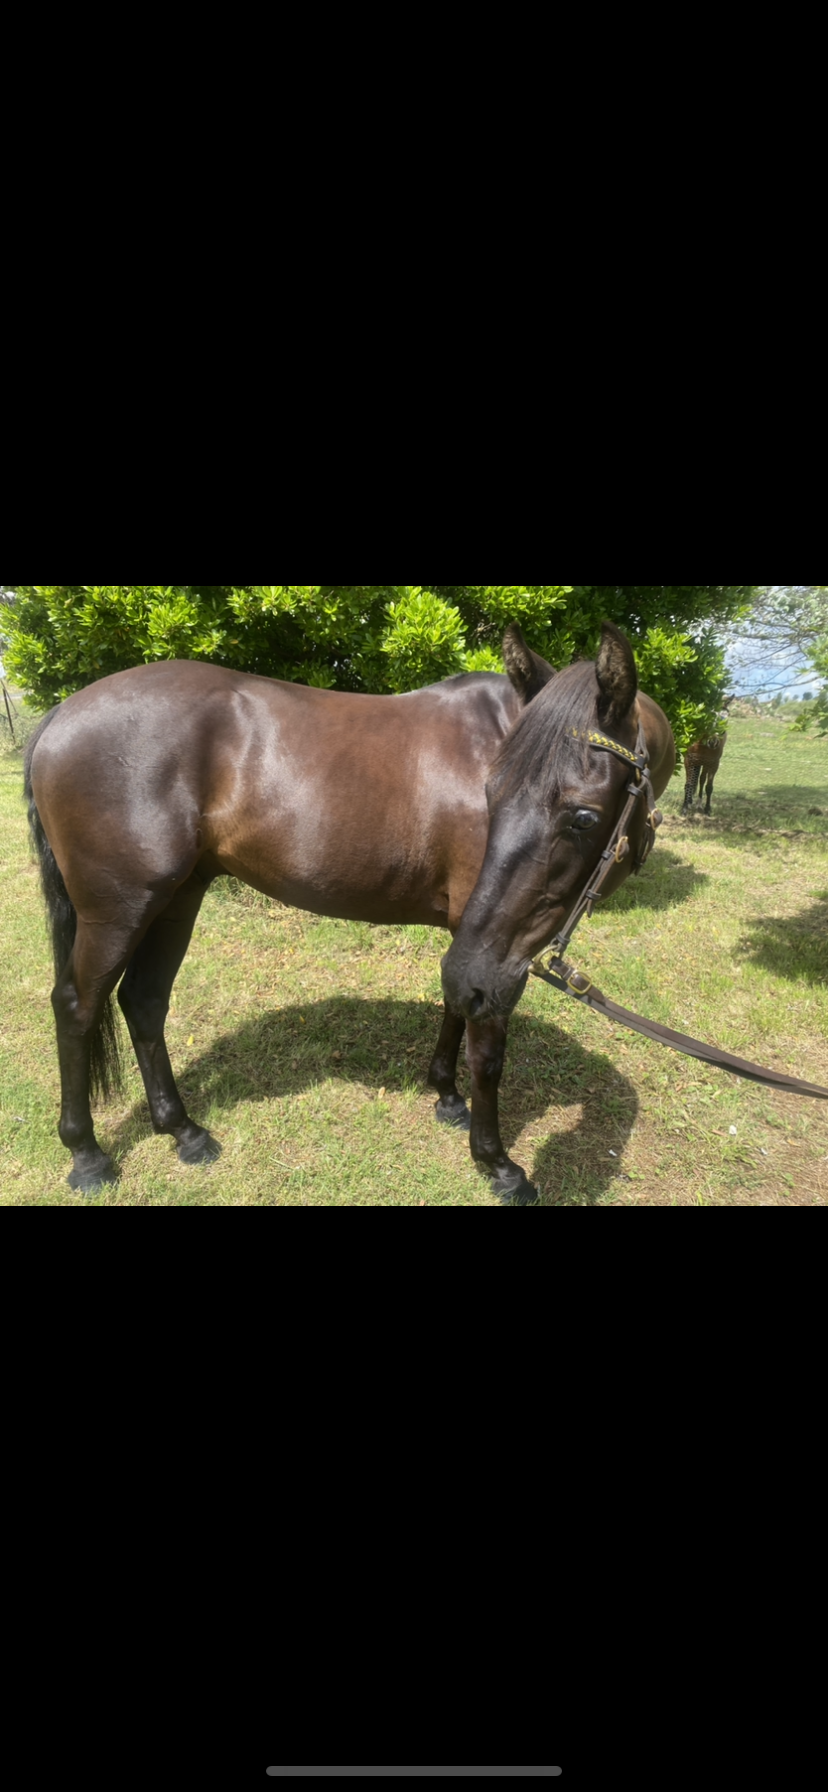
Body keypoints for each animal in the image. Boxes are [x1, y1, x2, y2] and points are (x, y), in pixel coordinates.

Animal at [24, 621, 675, 1203]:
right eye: (491, 796)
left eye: (583, 818)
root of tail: (61, 715)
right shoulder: (494, 957)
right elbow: (486, 1049)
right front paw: (497, 1164)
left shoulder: (474, 944)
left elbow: (454, 1003)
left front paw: (446, 1096)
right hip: (119, 911)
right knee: (78, 1007)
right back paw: (87, 1155)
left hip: (176, 899)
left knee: (144, 1001)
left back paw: (182, 1131)